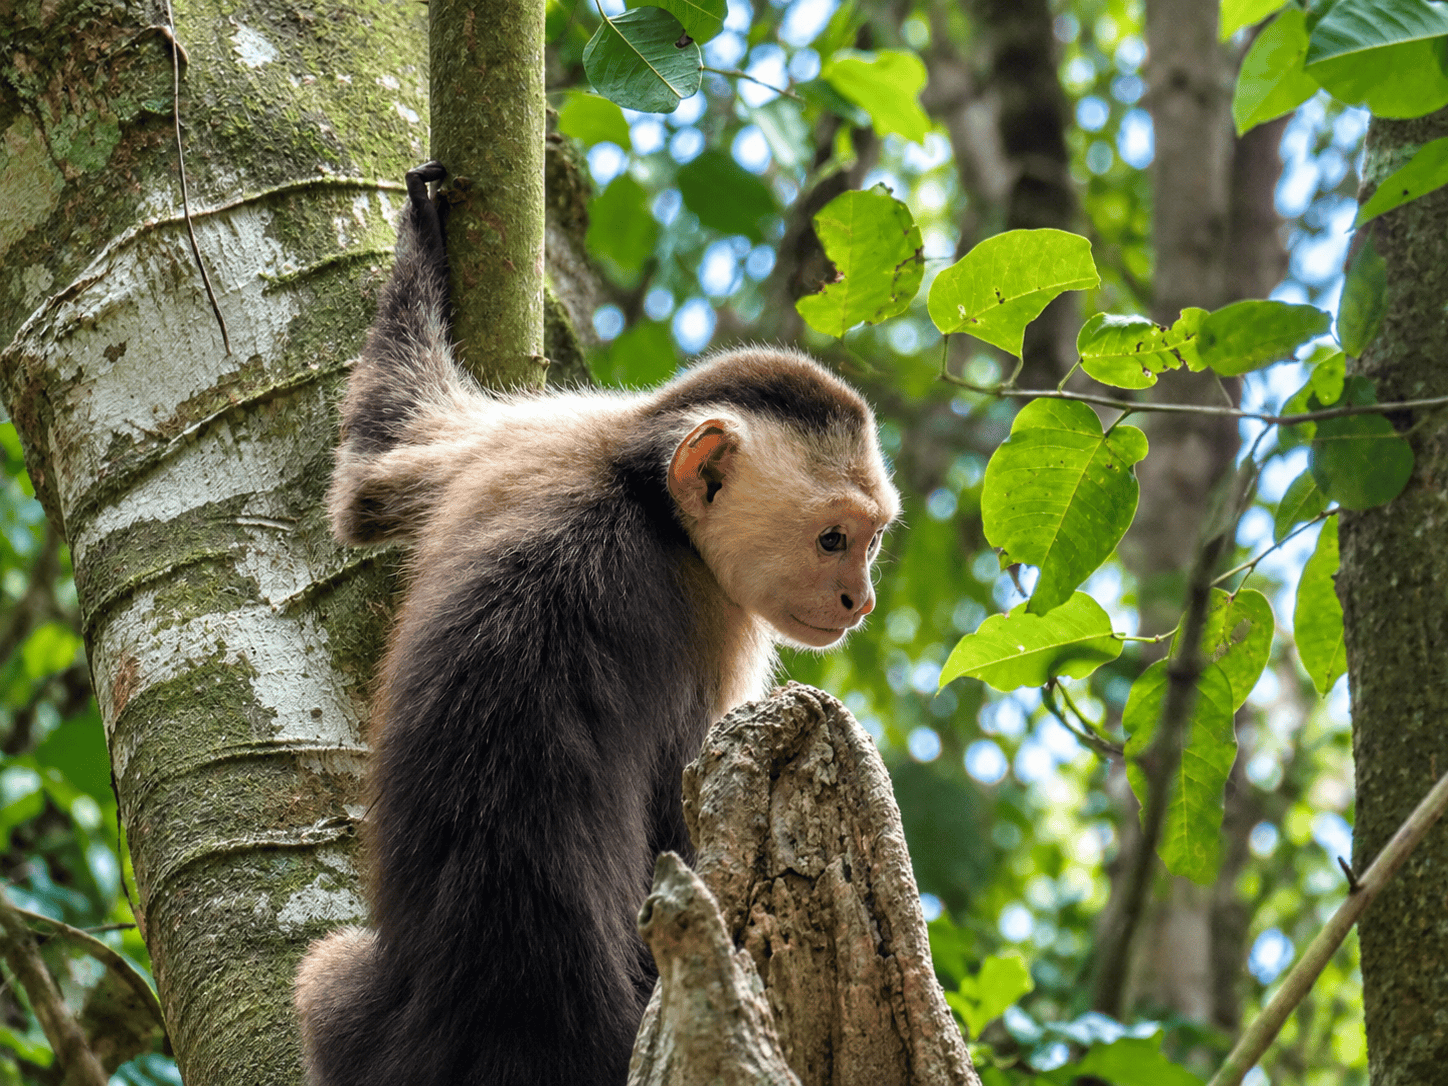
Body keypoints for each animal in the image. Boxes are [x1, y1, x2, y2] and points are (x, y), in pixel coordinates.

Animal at [293, 161, 900, 1086]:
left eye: (870, 541)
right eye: (832, 539)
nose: (857, 601)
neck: (642, 496)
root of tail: (515, 1023)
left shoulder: (536, 435)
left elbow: (370, 476)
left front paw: (420, 236)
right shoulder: (710, 611)